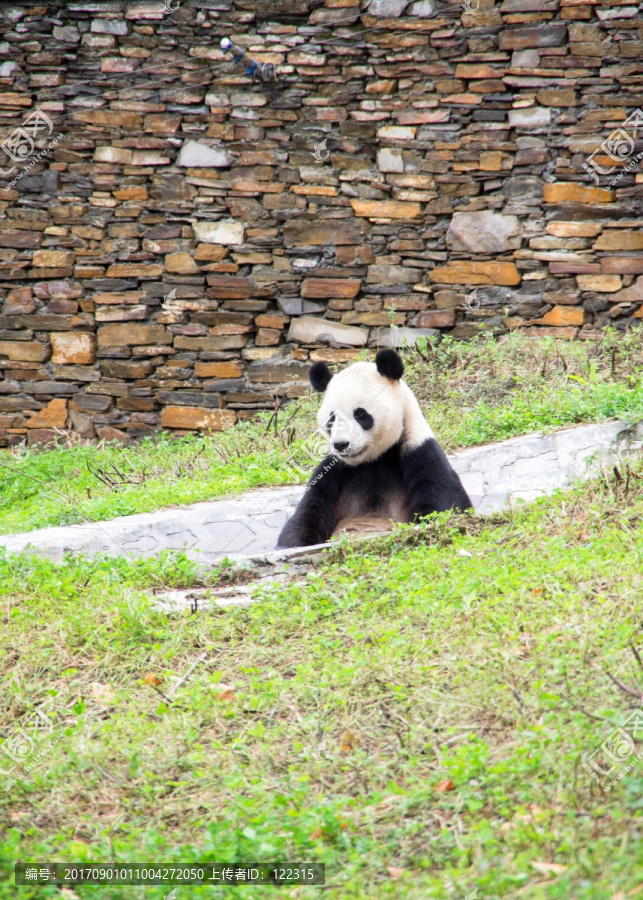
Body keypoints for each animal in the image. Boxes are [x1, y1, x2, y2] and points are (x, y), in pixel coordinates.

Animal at [276, 348, 472, 548]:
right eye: (332, 419)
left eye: (361, 414)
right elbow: (306, 516)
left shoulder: (420, 451)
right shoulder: (332, 471)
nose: (341, 444)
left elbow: (442, 506)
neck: (374, 459)